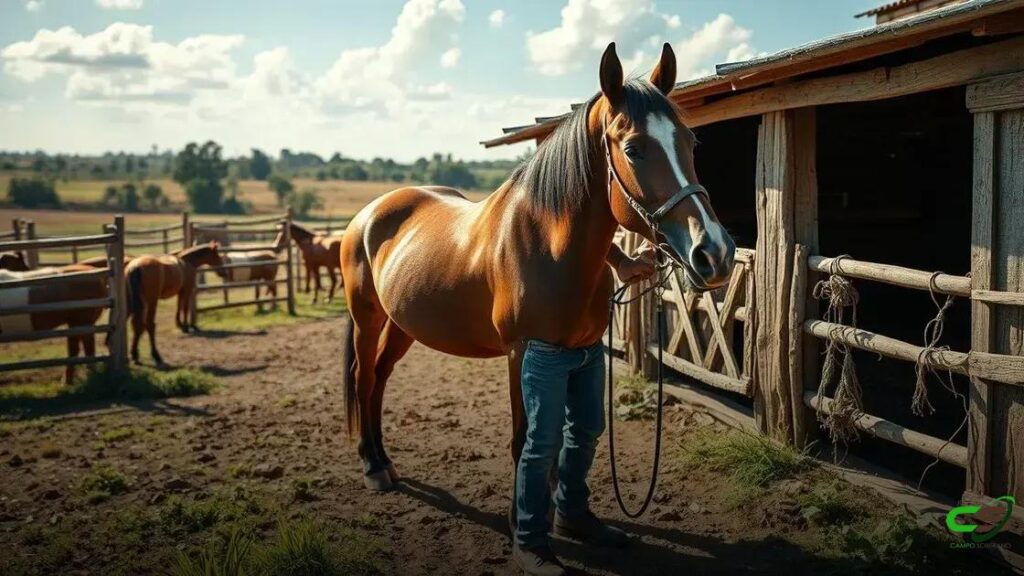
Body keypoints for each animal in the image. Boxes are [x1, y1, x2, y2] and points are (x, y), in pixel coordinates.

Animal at [339, 43, 736, 492]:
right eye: (633, 149)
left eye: (690, 141)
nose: (716, 252)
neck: (549, 249)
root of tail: (369, 213)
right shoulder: (521, 353)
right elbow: (524, 443)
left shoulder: (578, 353)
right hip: (368, 317)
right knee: (364, 377)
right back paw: (373, 465)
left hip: (402, 322)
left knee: (380, 376)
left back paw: (384, 459)